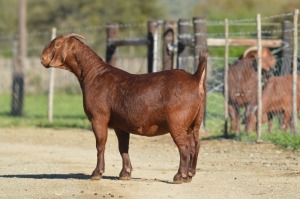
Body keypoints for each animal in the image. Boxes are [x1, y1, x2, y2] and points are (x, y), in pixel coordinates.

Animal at [41, 33, 207, 183]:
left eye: (57, 44)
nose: (42, 58)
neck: (93, 73)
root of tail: (195, 78)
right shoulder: (121, 125)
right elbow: (123, 147)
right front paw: (125, 173)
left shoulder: (98, 118)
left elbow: (100, 144)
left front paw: (97, 173)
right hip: (195, 122)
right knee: (195, 145)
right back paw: (189, 175)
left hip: (177, 122)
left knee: (184, 146)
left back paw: (179, 176)